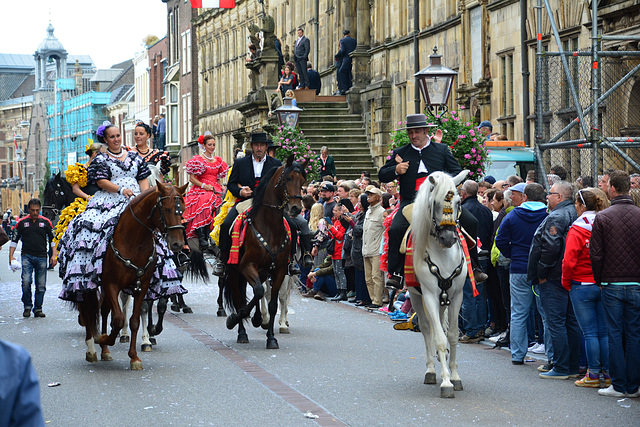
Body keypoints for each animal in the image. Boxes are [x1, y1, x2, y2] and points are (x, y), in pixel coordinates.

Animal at [75, 184, 188, 372]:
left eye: (183, 210)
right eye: (167, 209)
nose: (177, 244)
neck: (134, 242)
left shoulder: (141, 286)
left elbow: (134, 319)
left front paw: (134, 357)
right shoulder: (111, 284)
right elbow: (119, 319)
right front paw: (105, 338)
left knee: (104, 310)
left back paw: (105, 350)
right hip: (85, 285)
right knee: (88, 310)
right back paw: (92, 348)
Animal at [224, 155, 306, 350]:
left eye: (302, 181)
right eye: (288, 178)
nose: (296, 208)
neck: (269, 227)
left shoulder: (280, 271)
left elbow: (273, 302)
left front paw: (271, 338)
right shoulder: (247, 266)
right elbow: (258, 293)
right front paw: (234, 320)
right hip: (233, 270)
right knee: (240, 298)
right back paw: (241, 331)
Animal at [410, 169, 470, 400]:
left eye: (458, 202)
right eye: (434, 202)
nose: (448, 238)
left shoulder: (456, 296)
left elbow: (452, 335)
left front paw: (455, 376)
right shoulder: (429, 296)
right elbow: (439, 338)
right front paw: (445, 382)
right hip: (416, 296)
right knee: (427, 329)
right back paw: (430, 370)